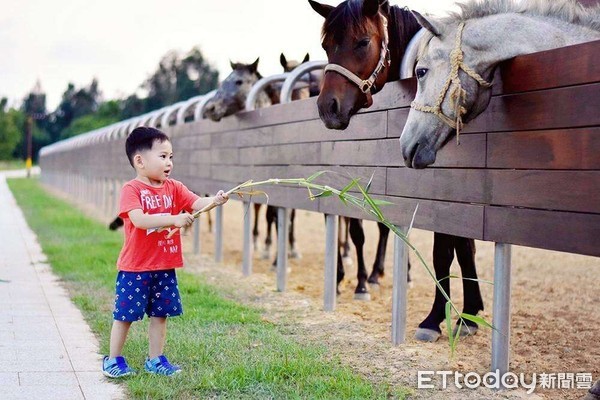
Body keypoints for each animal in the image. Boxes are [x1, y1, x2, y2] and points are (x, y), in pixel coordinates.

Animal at [310, 0, 482, 340]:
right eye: (326, 46)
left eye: (363, 42)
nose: (327, 108)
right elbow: (459, 246)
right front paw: (468, 312)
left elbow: (448, 249)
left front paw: (443, 317)